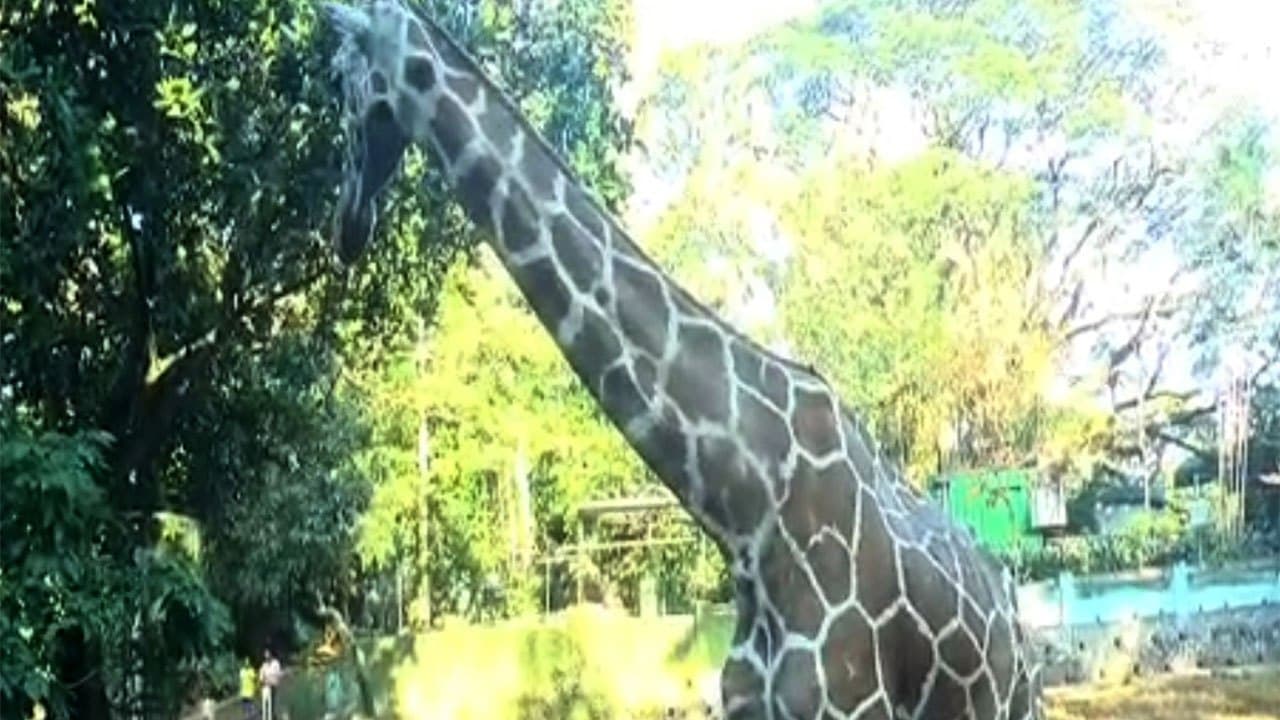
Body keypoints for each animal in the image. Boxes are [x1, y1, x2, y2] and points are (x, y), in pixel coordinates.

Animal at [321, 2, 1044, 718]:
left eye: (339, 78)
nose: (346, 226)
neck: (749, 515)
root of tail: (1015, 614)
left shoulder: (849, 704)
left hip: (1012, 703)